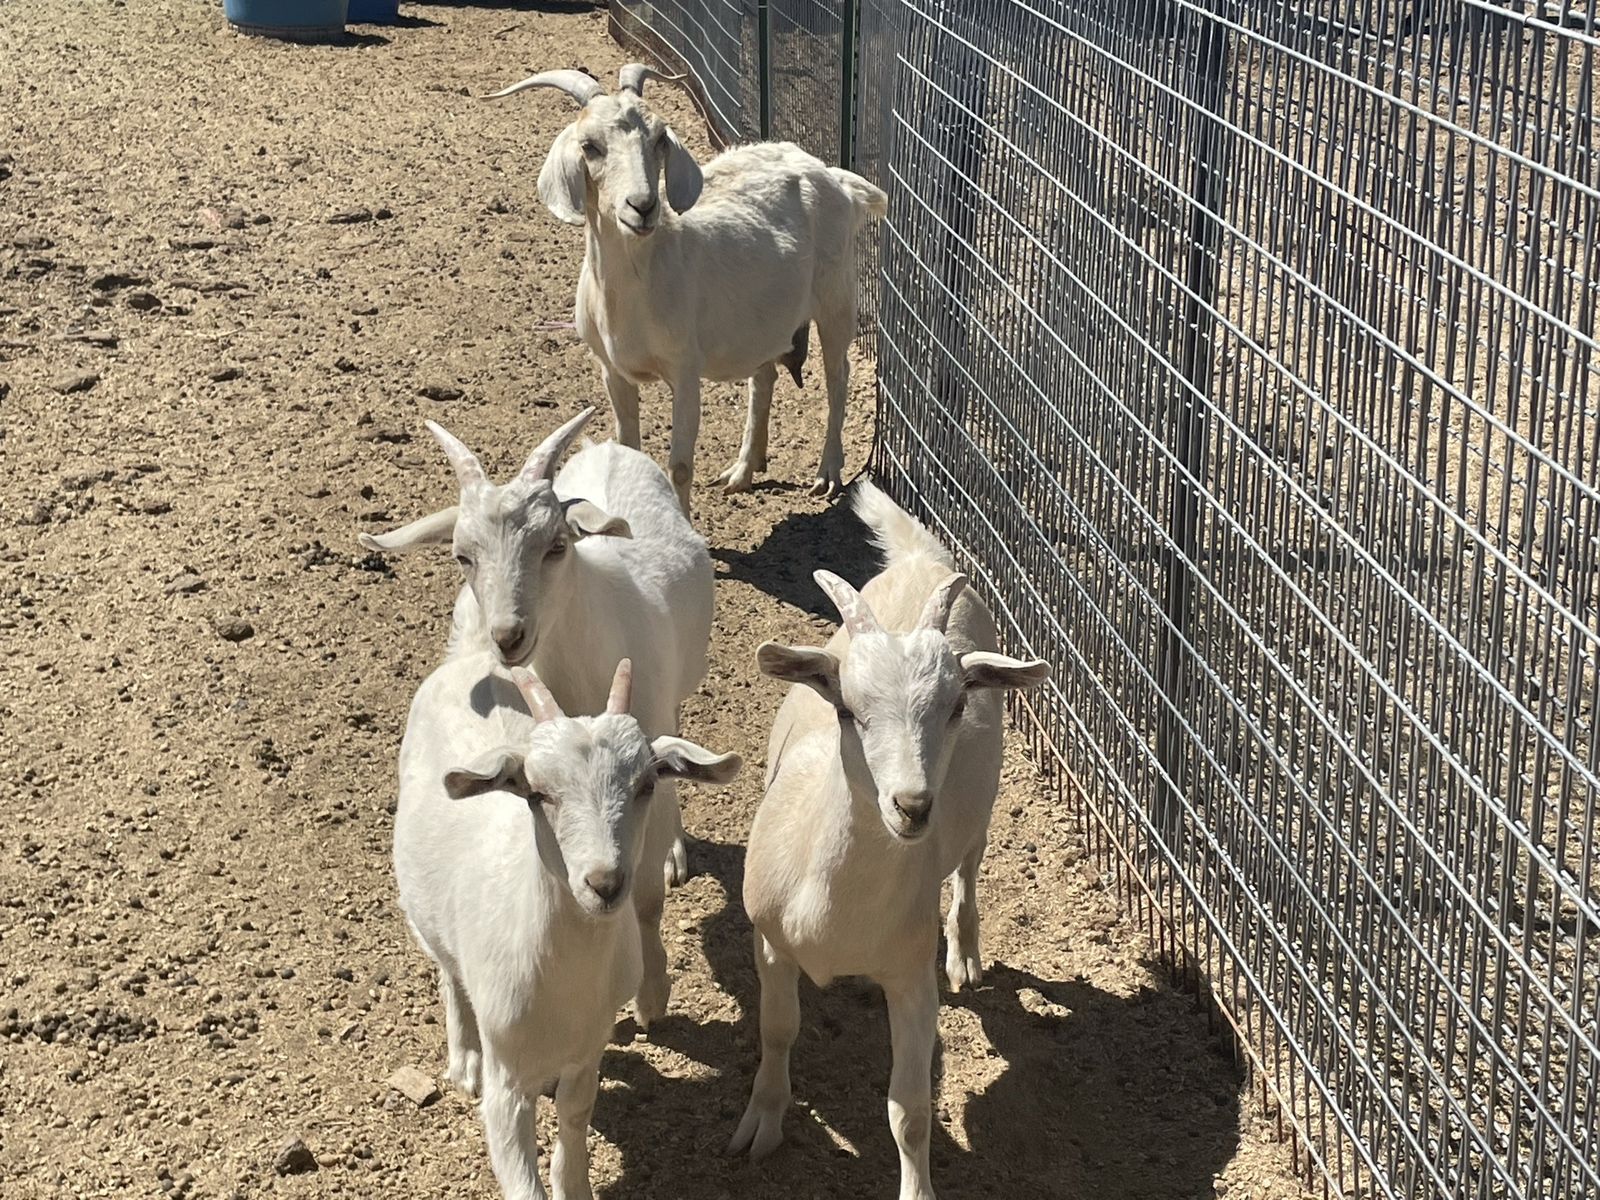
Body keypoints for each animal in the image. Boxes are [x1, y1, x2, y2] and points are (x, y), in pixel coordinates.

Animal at [360, 407, 711, 1026]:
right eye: (462, 555)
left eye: (556, 546)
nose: (508, 636)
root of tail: (607, 449)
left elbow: (646, 894)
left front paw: (652, 996)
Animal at [396, 656, 740, 1199]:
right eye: (536, 794)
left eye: (646, 785)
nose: (604, 883)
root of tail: (472, 658)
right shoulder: (507, 1077)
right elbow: (521, 1177)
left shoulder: (588, 1049)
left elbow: (575, 1117)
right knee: (448, 970)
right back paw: (464, 1059)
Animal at [485, 65, 888, 515]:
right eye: (589, 146)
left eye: (660, 139)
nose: (642, 206)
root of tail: (836, 178)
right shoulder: (612, 371)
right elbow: (629, 449)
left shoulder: (685, 369)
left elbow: (679, 465)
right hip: (762, 322)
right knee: (763, 378)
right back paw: (742, 470)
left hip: (837, 295)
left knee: (838, 374)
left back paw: (828, 473)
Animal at [727, 482, 1049, 1200]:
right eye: (847, 708)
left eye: (955, 707)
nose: (912, 805)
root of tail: (924, 561)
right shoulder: (770, 941)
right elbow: (778, 1030)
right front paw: (761, 1123)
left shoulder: (909, 975)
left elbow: (910, 1110)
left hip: (982, 806)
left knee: (969, 868)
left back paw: (966, 953)